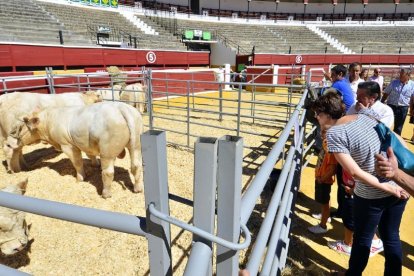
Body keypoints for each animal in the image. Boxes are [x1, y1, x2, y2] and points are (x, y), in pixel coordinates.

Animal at [8, 101, 144, 198]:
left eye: (20, 127)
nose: (10, 143)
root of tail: (121, 107)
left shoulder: (68, 145)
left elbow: (77, 162)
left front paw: (80, 178)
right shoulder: (85, 144)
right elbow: (90, 155)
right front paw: (95, 164)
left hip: (107, 151)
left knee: (108, 172)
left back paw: (106, 194)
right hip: (136, 145)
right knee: (136, 166)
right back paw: (138, 189)